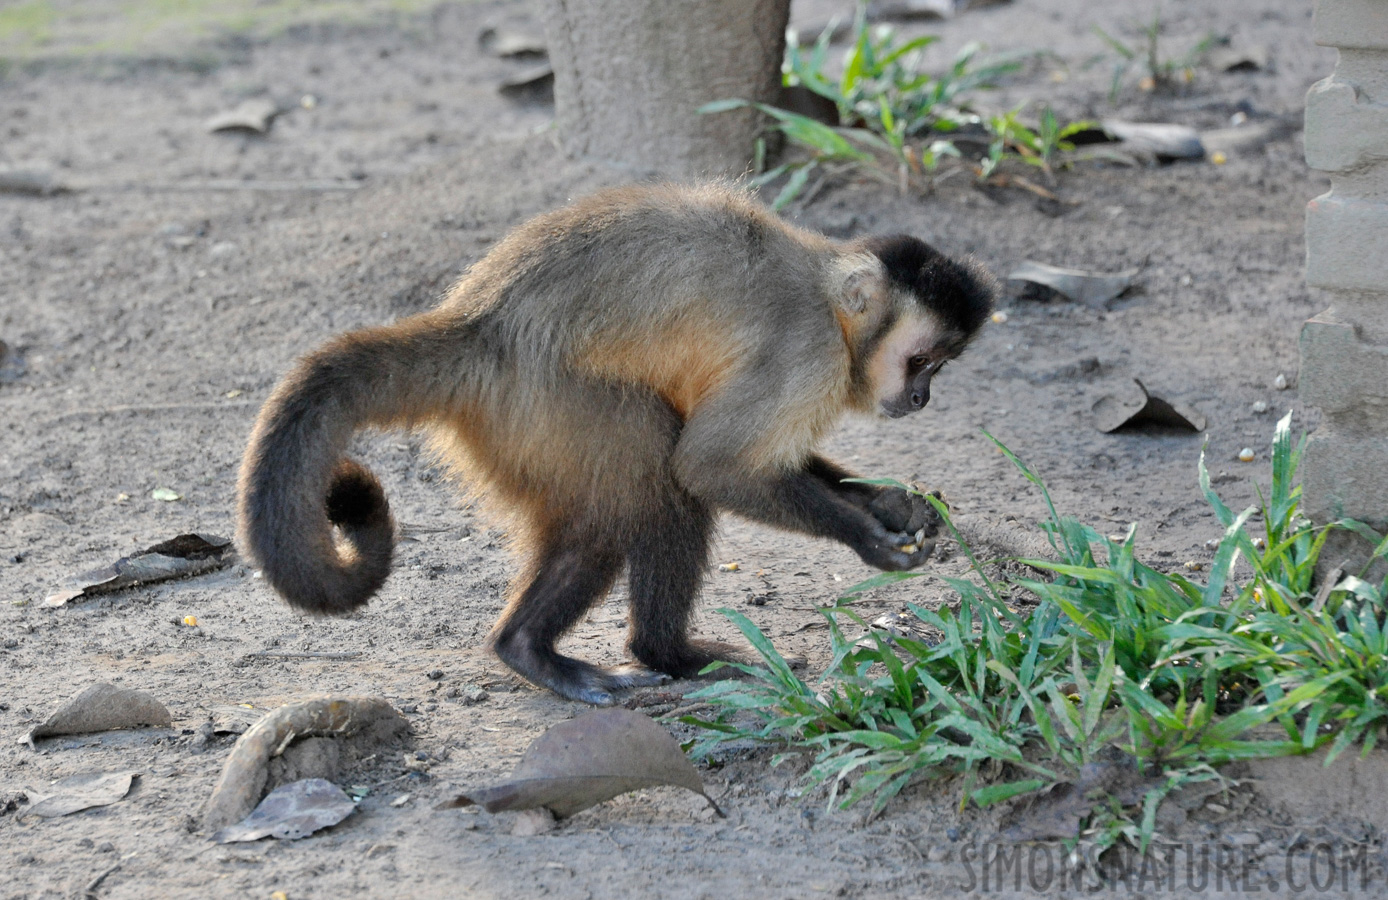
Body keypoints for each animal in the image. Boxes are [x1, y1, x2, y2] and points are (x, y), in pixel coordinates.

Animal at [238, 180, 999, 702]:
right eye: (922, 361)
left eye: (942, 365)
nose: (924, 398)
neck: (832, 306)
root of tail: (477, 324)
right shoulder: (806, 352)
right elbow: (708, 465)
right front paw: (866, 539)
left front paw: (897, 506)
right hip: (548, 399)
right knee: (658, 482)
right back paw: (646, 653)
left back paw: (536, 648)